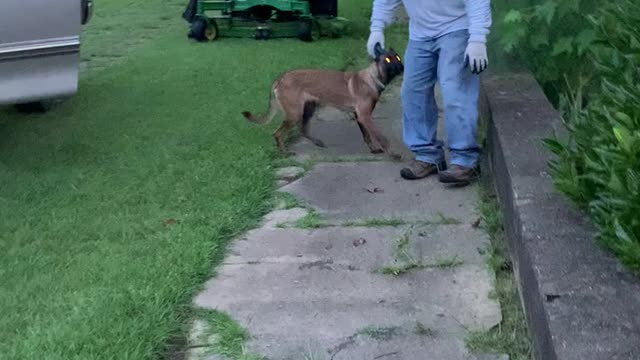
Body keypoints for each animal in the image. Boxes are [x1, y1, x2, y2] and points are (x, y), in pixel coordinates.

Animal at [242, 45, 402, 153]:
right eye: (388, 60)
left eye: (398, 57)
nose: (402, 66)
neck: (373, 78)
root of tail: (279, 79)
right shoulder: (364, 116)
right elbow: (377, 134)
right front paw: (388, 150)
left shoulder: (359, 116)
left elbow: (367, 135)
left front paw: (374, 148)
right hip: (295, 114)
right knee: (277, 133)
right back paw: (284, 153)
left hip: (308, 109)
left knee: (302, 130)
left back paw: (317, 142)